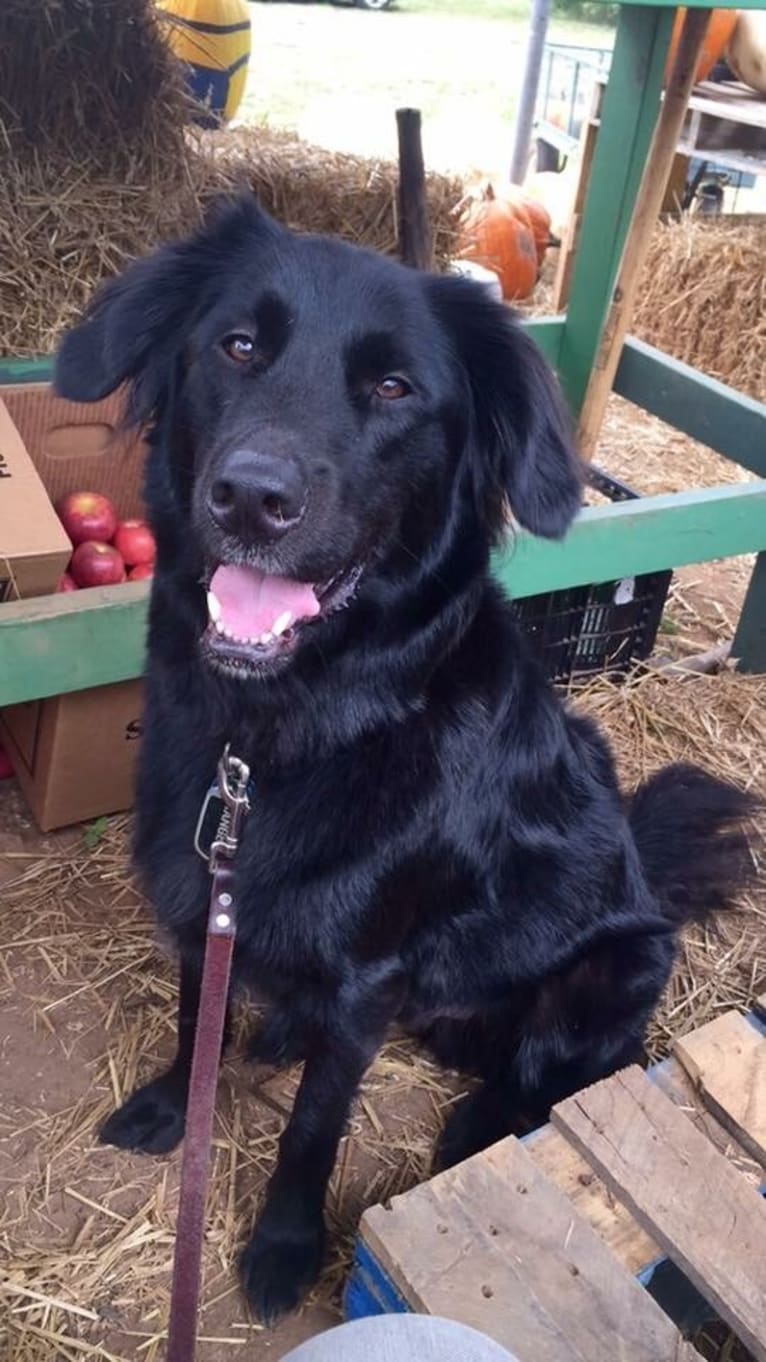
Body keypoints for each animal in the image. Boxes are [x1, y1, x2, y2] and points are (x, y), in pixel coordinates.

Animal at [56, 197, 752, 1323]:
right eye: (236, 346)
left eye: (394, 389)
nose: (251, 497)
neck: (277, 735)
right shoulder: (208, 896)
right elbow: (194, 1020)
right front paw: (172, 1106)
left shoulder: (367, 977)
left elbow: (312, 1126)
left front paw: (284, 1246)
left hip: (611, 972)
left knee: (576, 1069)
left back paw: (478, 1126)